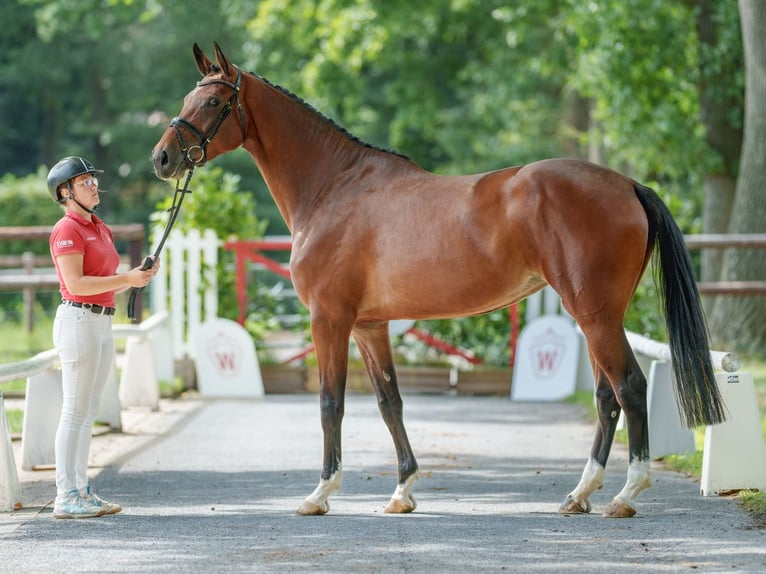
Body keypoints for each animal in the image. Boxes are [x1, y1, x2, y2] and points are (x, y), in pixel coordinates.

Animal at [150, 42, 728, 520]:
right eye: (188, 97)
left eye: (211, 102)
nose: (162, 158)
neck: (334, 187)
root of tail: (628, 184)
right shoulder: (369, 326)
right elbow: (390, 402)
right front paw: (402, 492)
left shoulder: (328, 320)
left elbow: (331, 403)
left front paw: (319, 494)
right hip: (596, 316)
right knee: (607, 397)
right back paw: (579, 494)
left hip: (595, 314)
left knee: (629, 386)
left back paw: (626, 495)